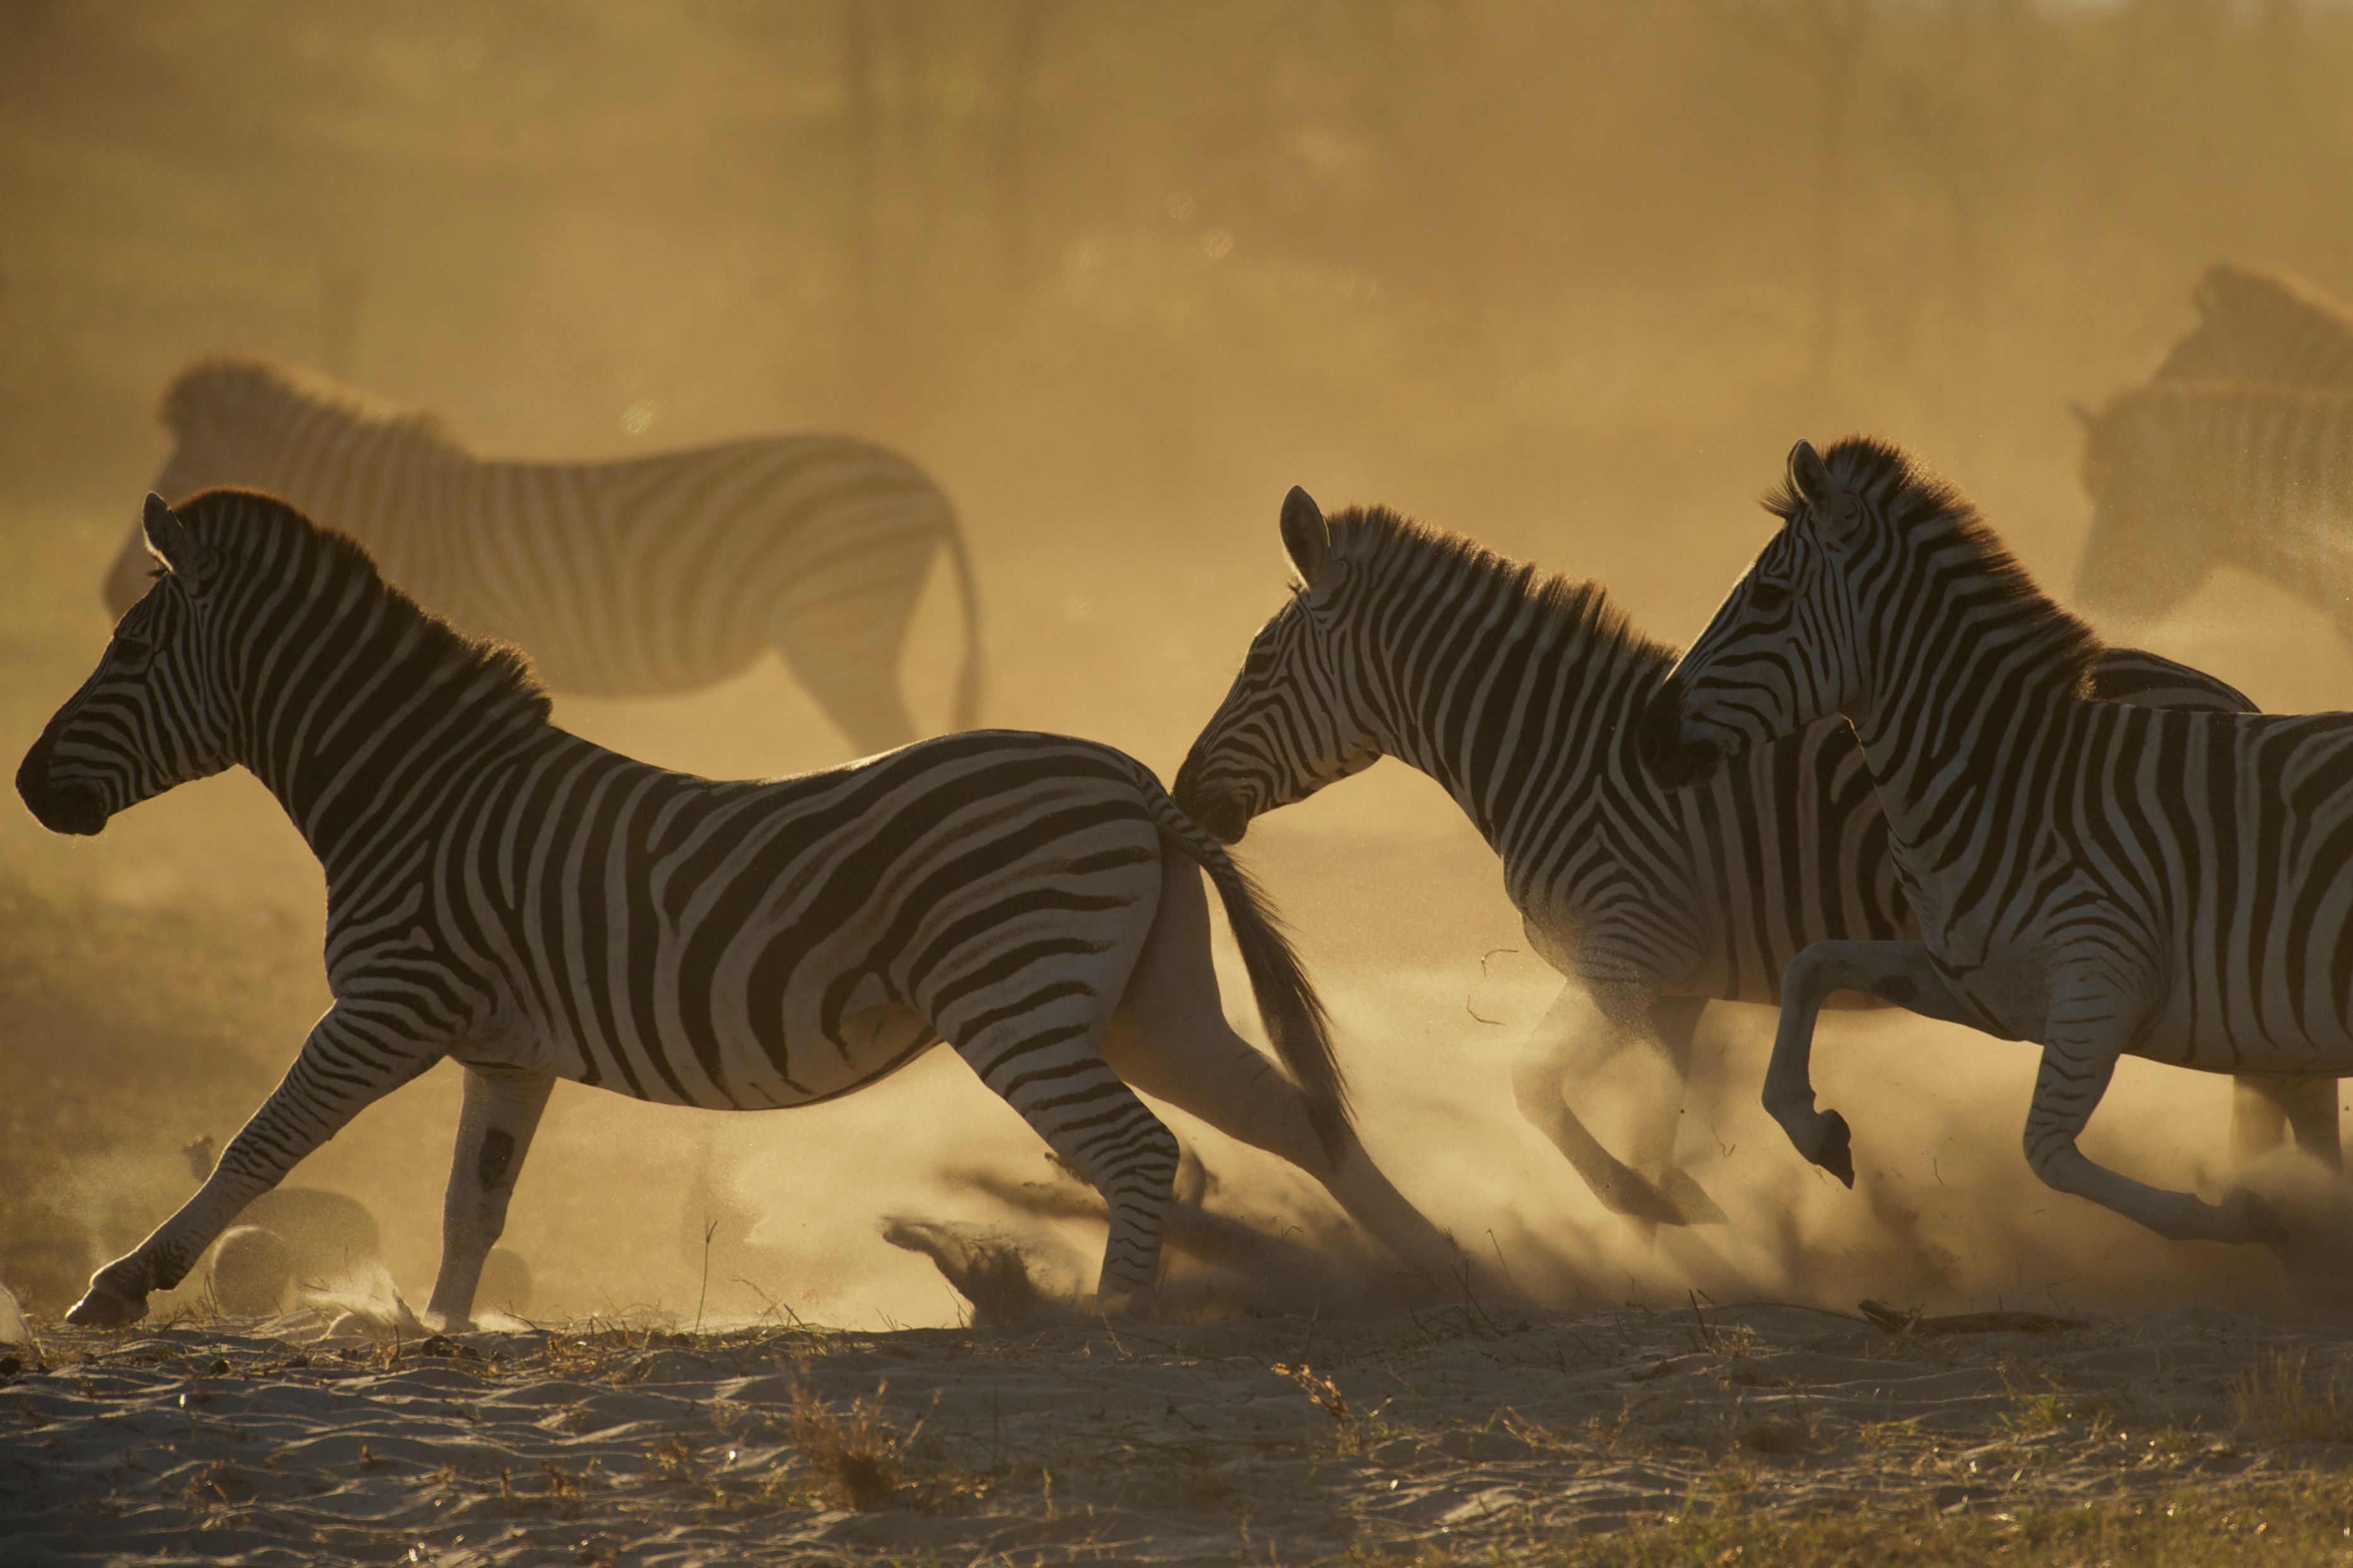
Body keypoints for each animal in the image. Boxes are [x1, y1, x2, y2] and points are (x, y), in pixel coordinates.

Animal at [25, 488, 1459, 1329]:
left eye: (131, 649)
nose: (32, 788)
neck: (414, 791)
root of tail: (1132, 782)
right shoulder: (501, 1053)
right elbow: (470, 1211)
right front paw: (444, 1341)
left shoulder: (389, 1004)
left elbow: (262, 1140)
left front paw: (121, 1286)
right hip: (1144, 1005)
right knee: (1293, 1119)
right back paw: (1444, 1268)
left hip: (1021, 1000)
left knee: (1140, 1153)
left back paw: (1106, 1332)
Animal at [1171, 487, 2267, 1228]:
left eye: (1258, 663)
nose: (1182, 793)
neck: (1562, 758)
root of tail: (2230, 695)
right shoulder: (1677, 989)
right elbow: (1658, 1112)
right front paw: (1700, 1224)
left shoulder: (1632, 950)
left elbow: (1536, 1084)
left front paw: (1654, 1205)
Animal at [1640, 435, 2353, 1245]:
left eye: (1766, 597)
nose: (1645, 737)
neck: (2010, 782)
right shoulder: (1976, 985)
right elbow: (1809, 966)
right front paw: (1816, 1131)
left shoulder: (2099, 979)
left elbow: (2045, 1151)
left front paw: (2242, 1213)